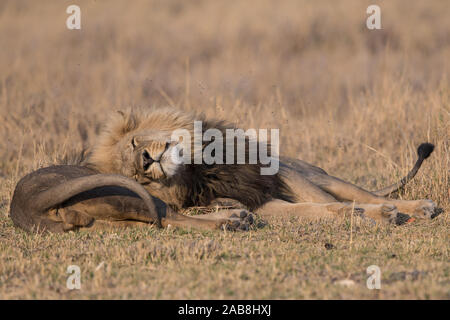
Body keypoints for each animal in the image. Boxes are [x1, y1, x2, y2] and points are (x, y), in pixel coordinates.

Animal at [8, 107, 442, 232]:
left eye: (132, 145)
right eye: (139, 176)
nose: (148, 160)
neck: (198, 166)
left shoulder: (272, 173)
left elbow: (331, 199)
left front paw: (384, 212)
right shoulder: (257, 198)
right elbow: (313, 209)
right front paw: (368, 217)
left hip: (313, 170)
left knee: (356, 188)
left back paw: (422, 206)